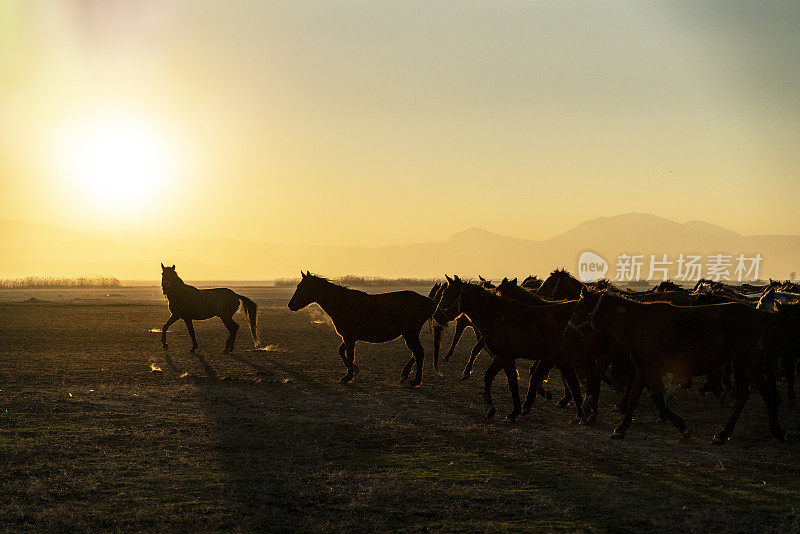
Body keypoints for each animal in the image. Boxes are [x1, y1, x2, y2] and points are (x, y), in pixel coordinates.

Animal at [288, 272, 438, 386]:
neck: (342, 303)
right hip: (410, 334)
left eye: (302, 287)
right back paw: (405, 374)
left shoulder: (349, 338)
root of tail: (427, 301)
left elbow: (350, 355)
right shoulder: (350, 337)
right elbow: (341, 351)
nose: (290, 305)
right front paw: (354, 369)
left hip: (410, 334)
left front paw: (348, 377)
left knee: (419, 353)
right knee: (416, 353)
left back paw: (415, 381)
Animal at [434, 278, 584, 426]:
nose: (436, 316)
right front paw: (490, 409)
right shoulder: (501, 357)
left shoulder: (507, 357)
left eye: (447, 295)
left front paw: (514, 412)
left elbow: (513, 382)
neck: (498, 316)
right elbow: (488, 376)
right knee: (572, 383)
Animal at [564, 288, 784, 444]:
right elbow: (634, 397)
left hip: (749, 363)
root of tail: (759, 315)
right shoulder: (643, 368)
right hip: (740, 365)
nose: (567, 334)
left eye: (578, 309)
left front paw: (683, 428)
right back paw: (722, 434)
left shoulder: (654, 368)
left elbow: (659, 400)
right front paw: (621, 428)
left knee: (766, 393)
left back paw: (777, 432)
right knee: (742, 398)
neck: (640, 324)